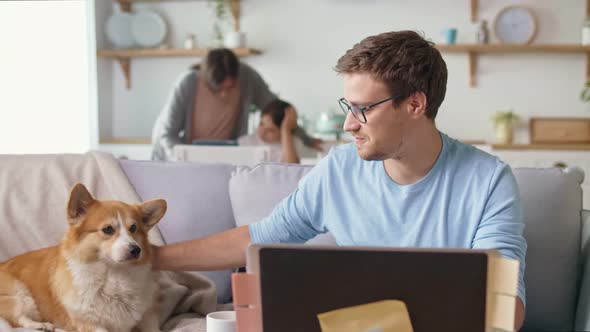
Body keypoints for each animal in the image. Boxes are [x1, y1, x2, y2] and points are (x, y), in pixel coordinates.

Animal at [0, 183, 168, 330]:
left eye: (133, 228)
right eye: (108, 229)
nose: (136, 250)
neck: (113, 275)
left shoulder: (147, 315)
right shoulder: (90, 323)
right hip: (20, 296)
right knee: (18, 318)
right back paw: (40, 325)